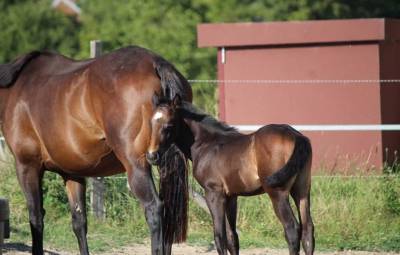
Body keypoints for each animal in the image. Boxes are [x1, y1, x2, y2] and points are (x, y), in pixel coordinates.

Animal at [0, 46, 192, 255]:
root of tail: (155, 63)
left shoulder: (27, 166)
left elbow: (36, 219)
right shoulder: (72, 173)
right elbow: (79, 222)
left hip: (137, 166)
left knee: (154, 209)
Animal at [147, 95, 316, 255]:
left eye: (169, 125)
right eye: (151, 124)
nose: (152, 156)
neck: (206, 143)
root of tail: (296, 136)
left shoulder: (214, 193)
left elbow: (219, 236)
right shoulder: (231, 197)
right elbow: (232, 237)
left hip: (277, 193)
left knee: (292, 229)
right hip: (301, 190)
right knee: (308, 230)